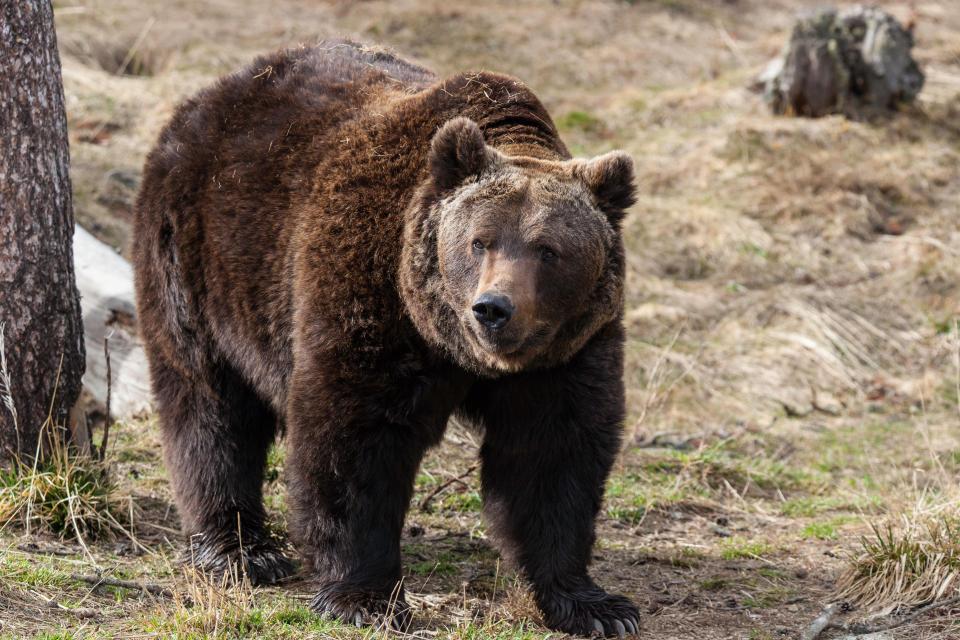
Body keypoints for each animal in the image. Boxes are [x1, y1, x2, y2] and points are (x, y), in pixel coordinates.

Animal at [131, 40, 632, 636]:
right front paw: (366, 597)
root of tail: (210, 96)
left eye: (548, 250)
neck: (451, 345)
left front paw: (593, 604)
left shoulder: (566, 353)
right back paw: (241, 548)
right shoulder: (367, 292)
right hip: (197, 264)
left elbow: (551, 454)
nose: (493, 309)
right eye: (479, 240)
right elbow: (353, 441)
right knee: (209, 407)